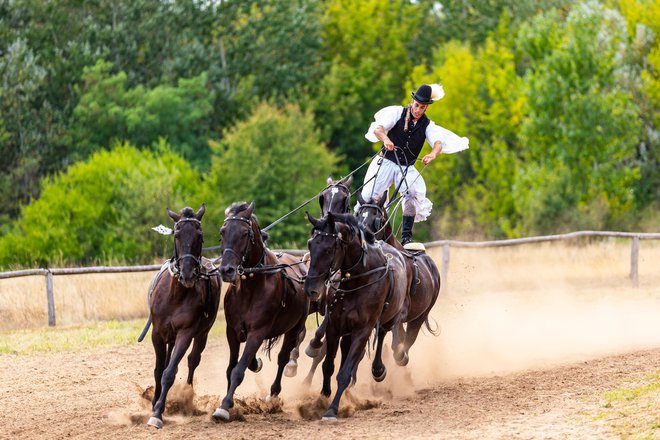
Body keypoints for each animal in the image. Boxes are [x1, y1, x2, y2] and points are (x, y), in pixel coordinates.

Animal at [142, 206, 222, 430]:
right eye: (176, 234)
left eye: (200, 236)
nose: (187, 274)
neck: (176, 295)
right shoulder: (157, 334)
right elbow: (159, 370)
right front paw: (155, 403)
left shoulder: (185, 334)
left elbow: (169, 372)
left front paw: (158, 413)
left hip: (202, 334)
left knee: (193, 360)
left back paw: (187, 397)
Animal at [214, 201, 312, 422]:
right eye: (223, 231)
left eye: (244, 233)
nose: (226, 270)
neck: (251, 286)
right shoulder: (232, 331)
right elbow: (231, 368)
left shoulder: (258, 332)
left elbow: (238, 370)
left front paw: (224, 407)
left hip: (294, 328)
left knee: (283, 358)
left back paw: (273, 393)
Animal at [302, 212, 408, 420]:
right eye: (310, 244)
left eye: (329, 249)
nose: (311, 289)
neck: (359, 279)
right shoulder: (334, 326)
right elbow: (328, 365)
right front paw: (323, 397)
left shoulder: (362, 330)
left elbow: (345, 372)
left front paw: (332, 409)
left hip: (387, 319)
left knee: (382, 334)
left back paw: (378, 370)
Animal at [356, 191, 438, 366]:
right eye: (359, 215)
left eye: (377, 218)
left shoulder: (400, 311)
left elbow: (397, 341)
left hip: (421, 315)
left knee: (410, 337)